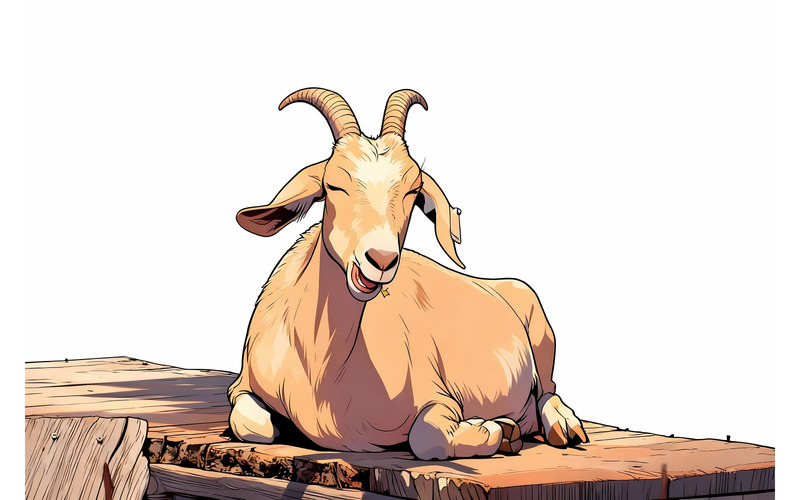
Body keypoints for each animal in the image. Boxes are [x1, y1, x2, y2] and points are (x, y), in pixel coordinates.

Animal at [228, 88, 587, 459]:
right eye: (334, 185)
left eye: (414, 191)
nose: (381, 259)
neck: (324, 372)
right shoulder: (242, 386)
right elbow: (252, 425)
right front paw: (502, 428)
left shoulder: (441, 398)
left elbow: (427, 437)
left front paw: (495, 430)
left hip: (542, 334)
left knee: (549, 391)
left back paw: (563, 427)